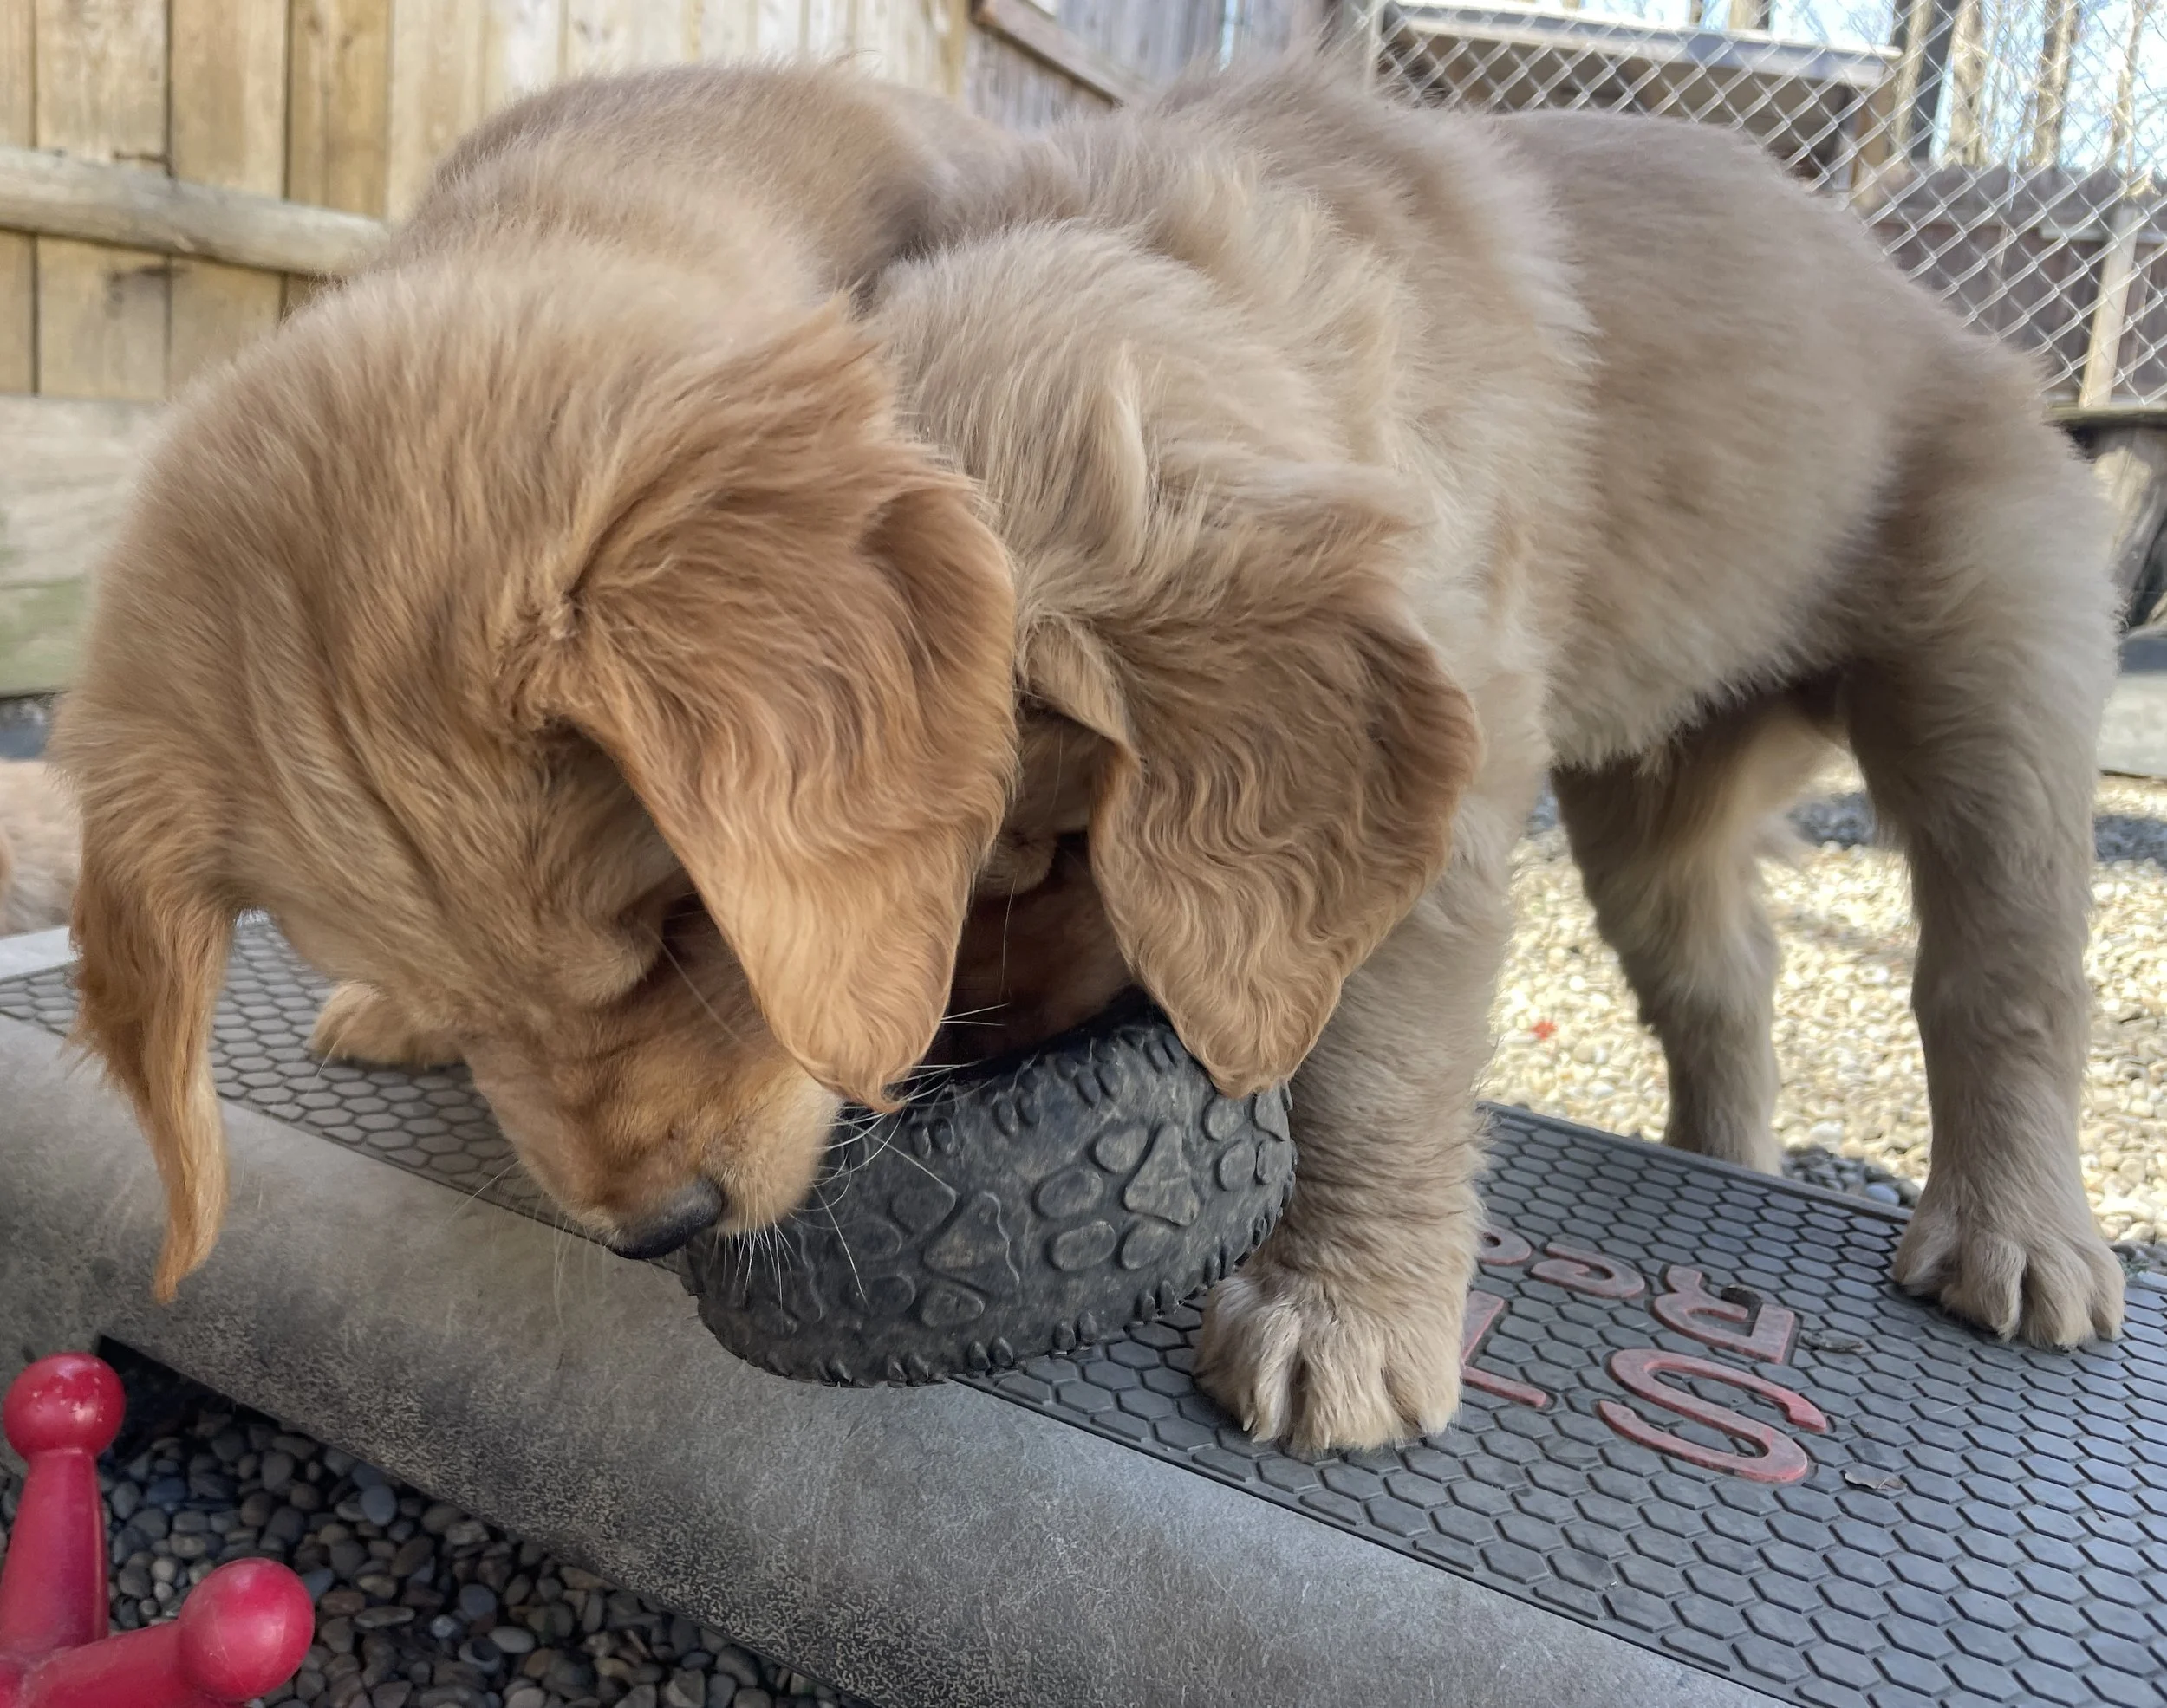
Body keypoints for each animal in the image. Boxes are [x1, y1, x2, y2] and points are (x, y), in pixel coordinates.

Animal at [57, 59, 2122, 1454]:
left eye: (1047, 853)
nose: (658, 1235)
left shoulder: (1448, 770)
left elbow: (1375, 1062)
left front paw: (1343, 1310)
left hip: (1989, 657)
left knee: (2000, 975)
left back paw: (2014, 1234)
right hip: (1655, 807)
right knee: (1722, 974)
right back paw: (1731, 1153)